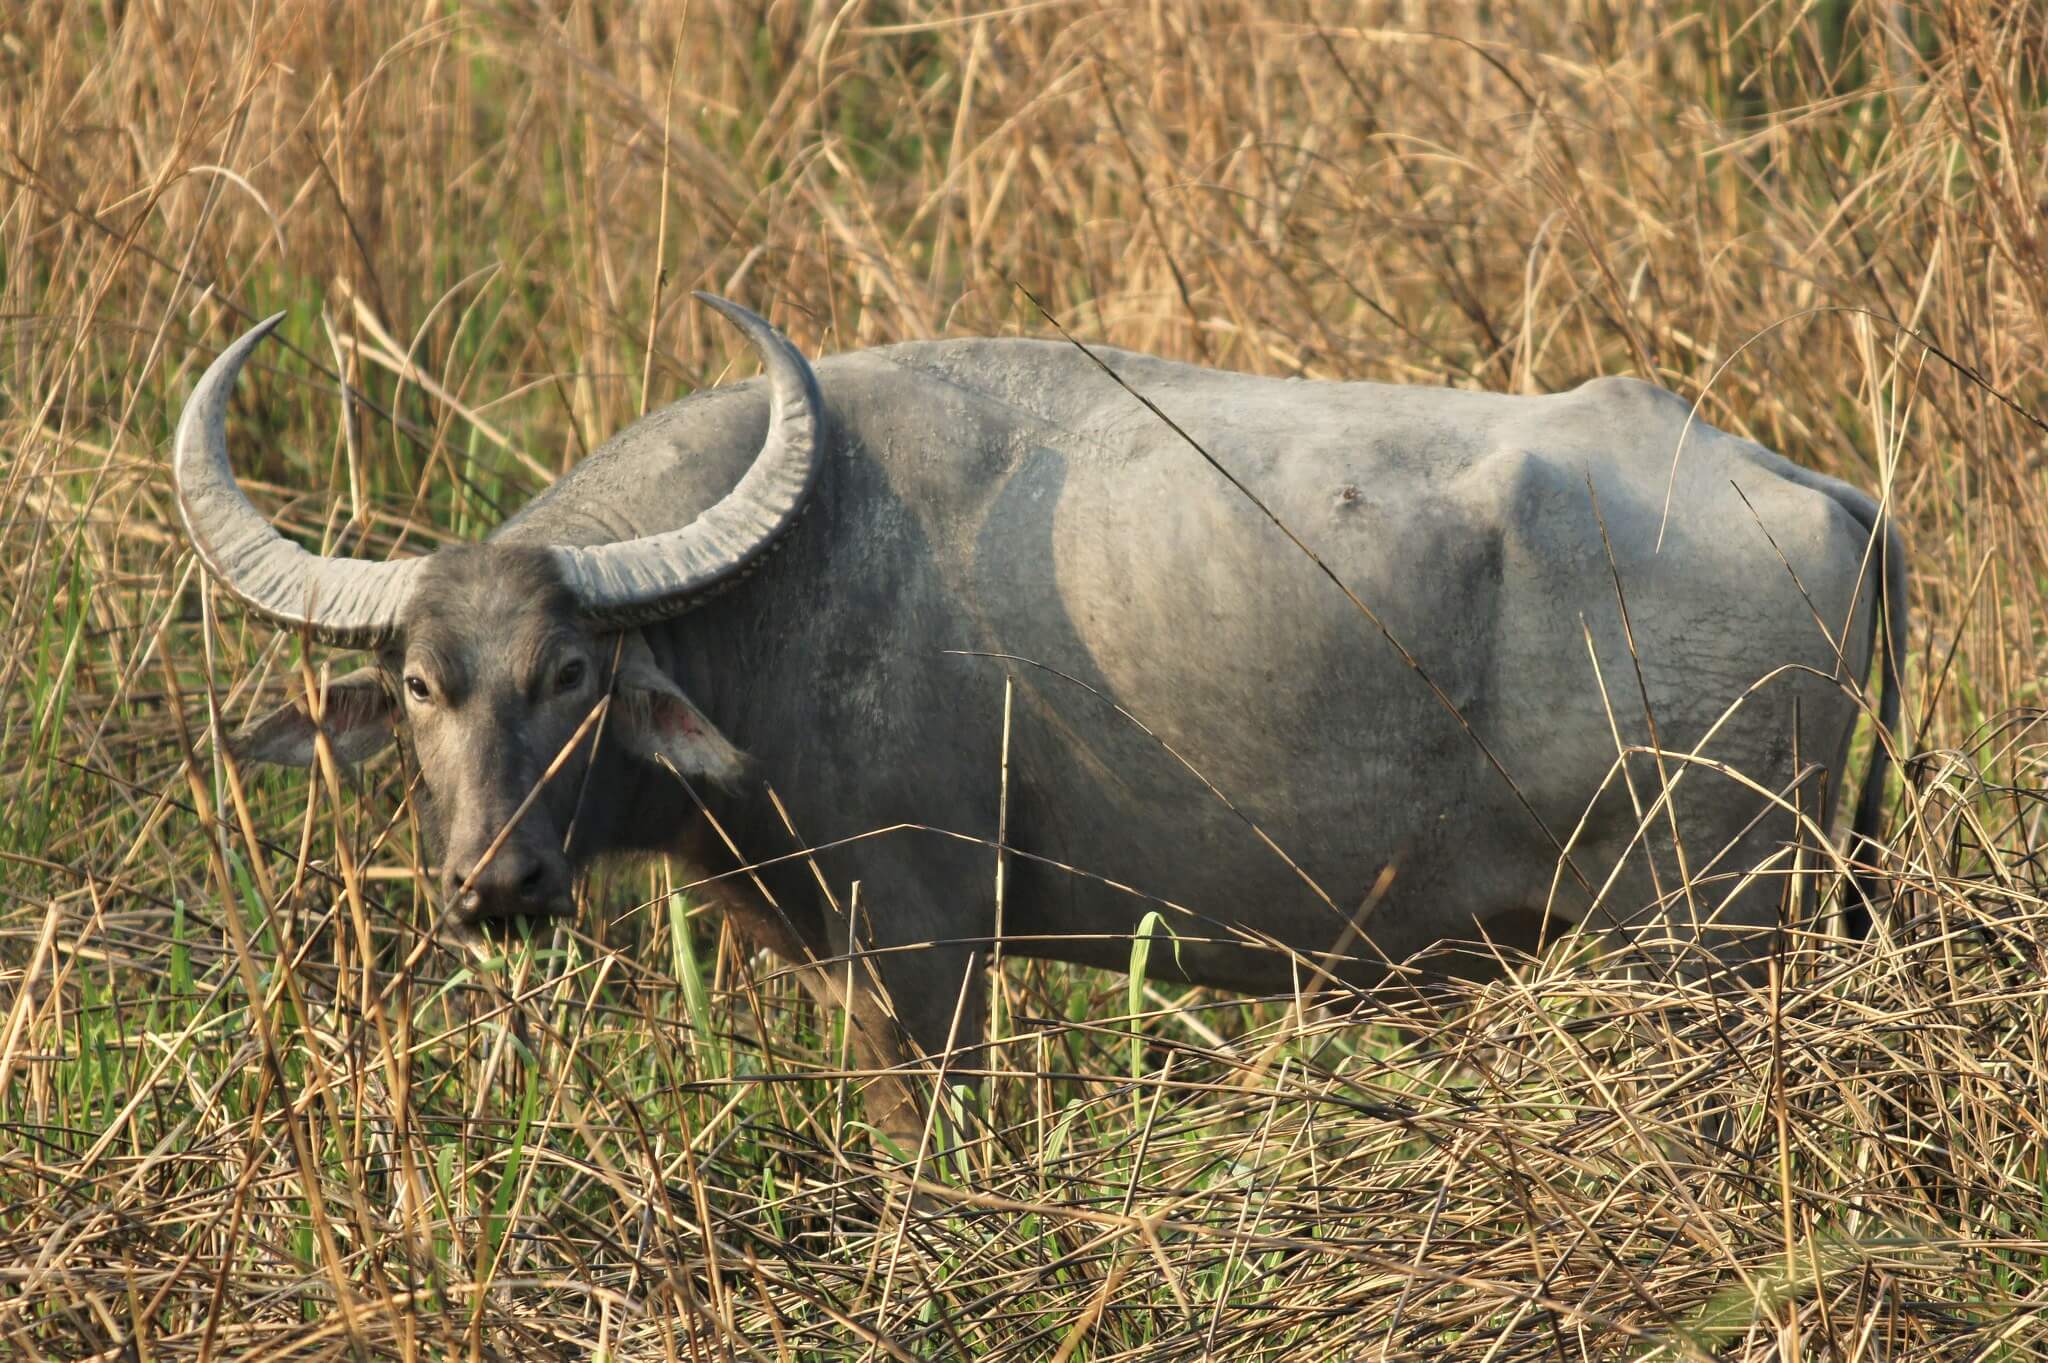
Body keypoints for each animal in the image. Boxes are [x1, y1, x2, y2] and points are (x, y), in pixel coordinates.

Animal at [176, 294, 1900, 1121]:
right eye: (421, 683)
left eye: (574, 672)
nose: (495, 881)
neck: (790, 580)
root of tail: (1817, 492)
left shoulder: (925, 944)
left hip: (1704, 937)